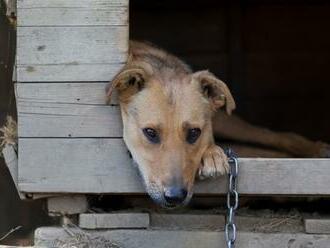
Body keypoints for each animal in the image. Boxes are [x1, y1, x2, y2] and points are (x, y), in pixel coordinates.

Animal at [106, 40, 330, 207]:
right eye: (150, 132)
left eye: (194, 132)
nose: (175, 196)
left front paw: (212, 154)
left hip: (229, 122)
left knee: (275, 137)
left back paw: (316, 152)